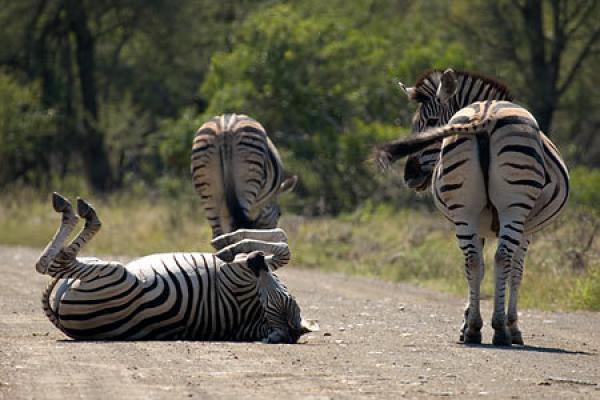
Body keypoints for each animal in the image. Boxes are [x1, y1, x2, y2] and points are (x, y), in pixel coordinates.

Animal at [35, 192, 318, 342]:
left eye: (275, 302)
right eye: (286, 299)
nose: (256, 260)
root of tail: (62, 321)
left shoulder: (236, 272)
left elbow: (281, 247)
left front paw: (230, 245)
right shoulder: (256, 267)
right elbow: (284, 244)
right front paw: (230, 239)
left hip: (112, 273)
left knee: (53, 264)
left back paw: (74, 211)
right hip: (96, 266)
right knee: (60, 264)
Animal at [376, 68, 568, 344]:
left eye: (431, 122)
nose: (409, 176)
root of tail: (486, 115)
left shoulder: (481, 223)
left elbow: (481, 268)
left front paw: (467, 322)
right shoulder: (526, 228)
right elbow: (516, 272)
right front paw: (513, 327)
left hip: (465, 209)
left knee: (473, 260)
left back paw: (475, 329)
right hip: (514, 206)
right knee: (502, 258)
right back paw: (499, 329)